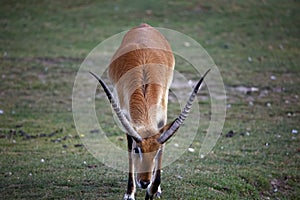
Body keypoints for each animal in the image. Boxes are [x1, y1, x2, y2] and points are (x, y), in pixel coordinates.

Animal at [90, 23, 210, 200]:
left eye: (156, 151)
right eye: (137, 150)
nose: (145, 182)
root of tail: (143, 26)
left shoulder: (162, 118)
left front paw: (153, 190)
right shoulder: (127, 118)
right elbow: (128, 147)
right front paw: (130, 193)